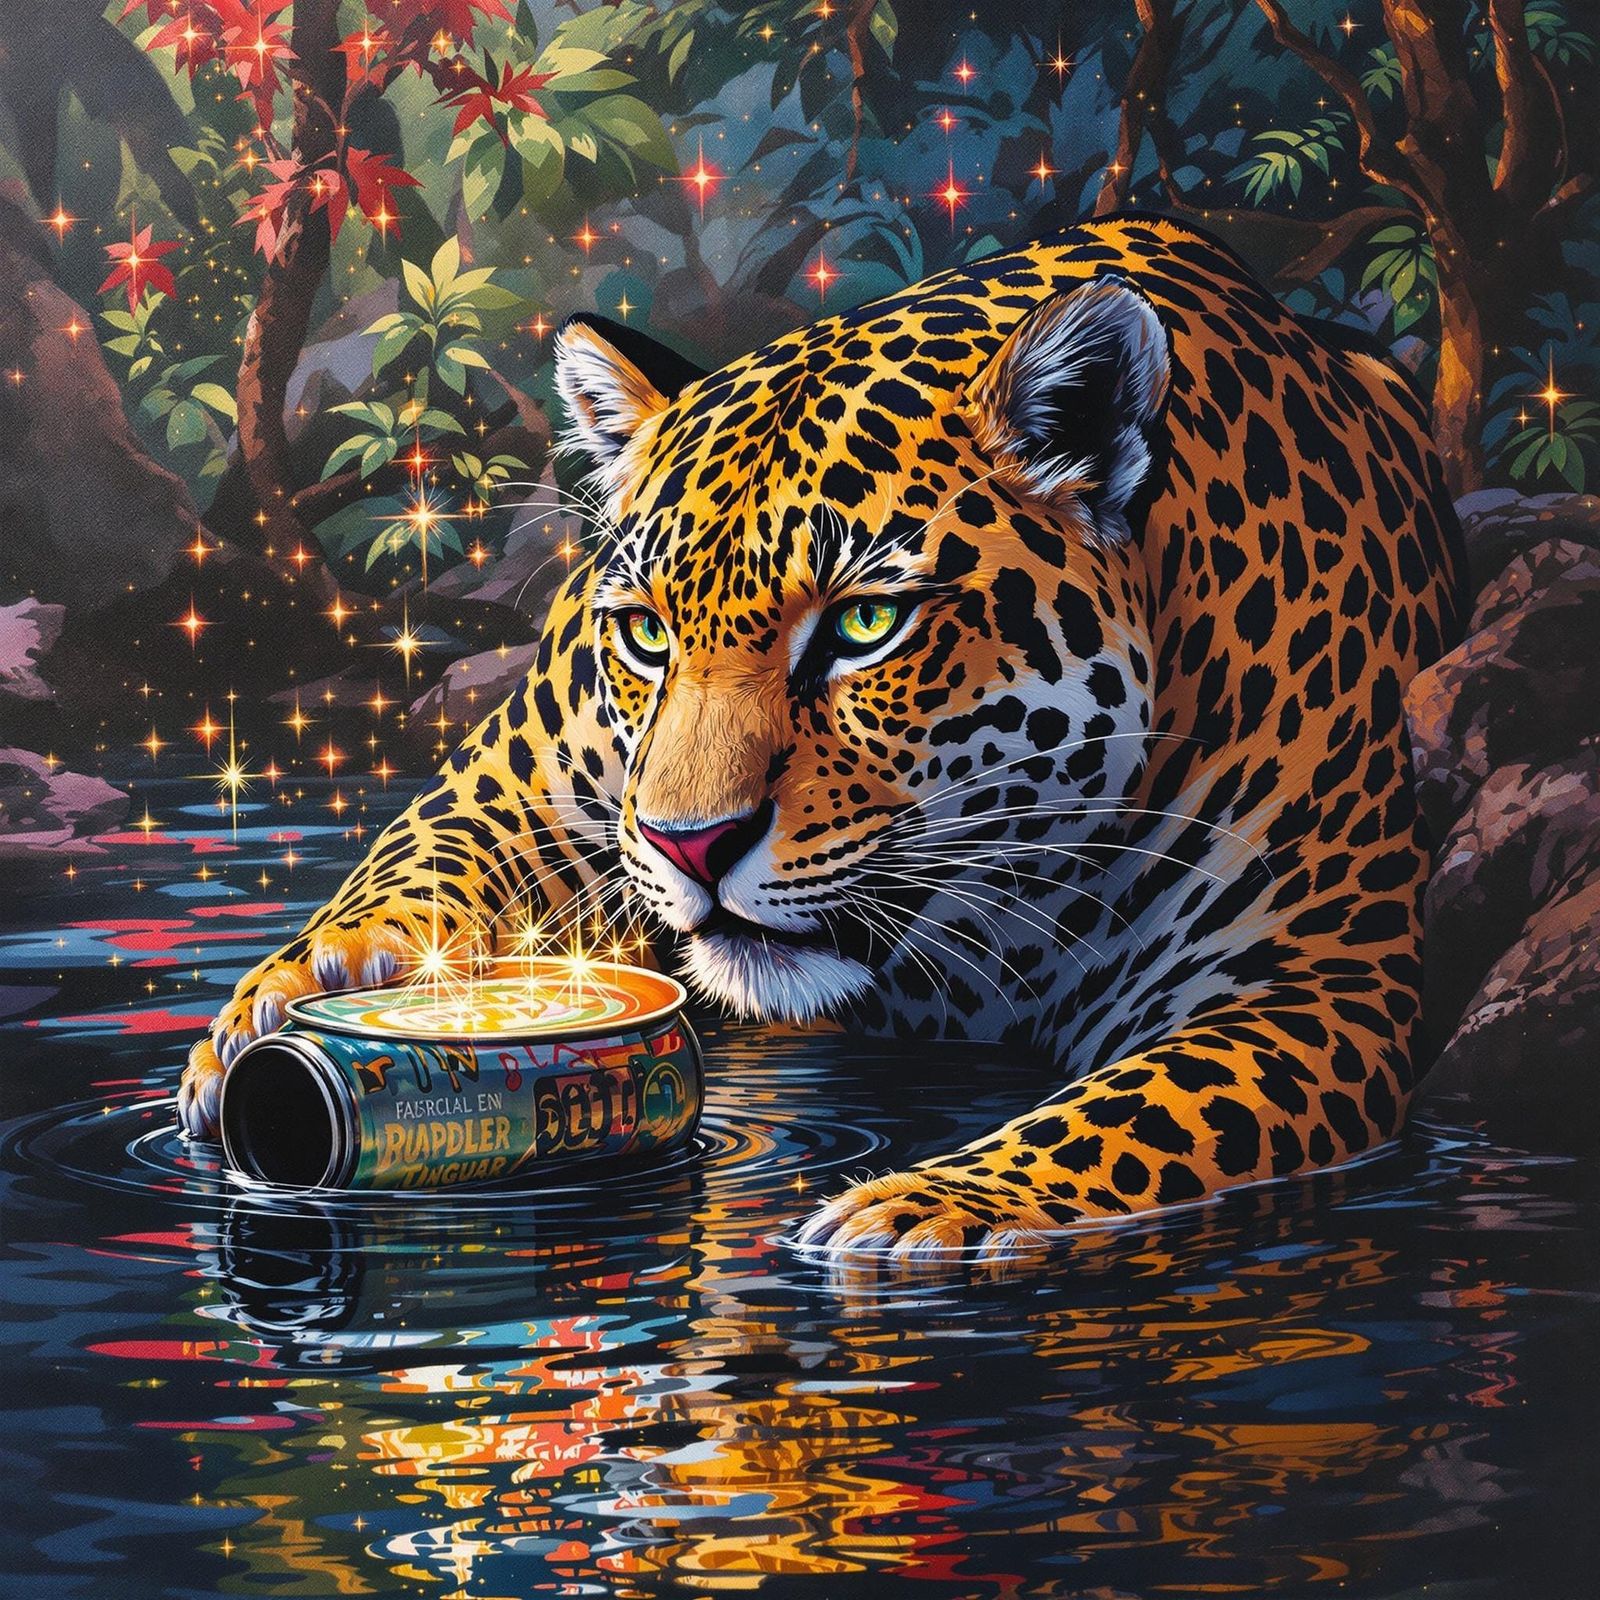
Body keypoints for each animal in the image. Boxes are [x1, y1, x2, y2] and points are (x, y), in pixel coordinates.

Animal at [180, 213, 1464, 1261]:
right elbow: (423, 853)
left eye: (863, 623)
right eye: (647, 633)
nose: (691, 845)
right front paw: (298, 998)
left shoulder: (1313, 981)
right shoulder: (525, 771)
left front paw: (926, 1209)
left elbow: (1140, 1110)